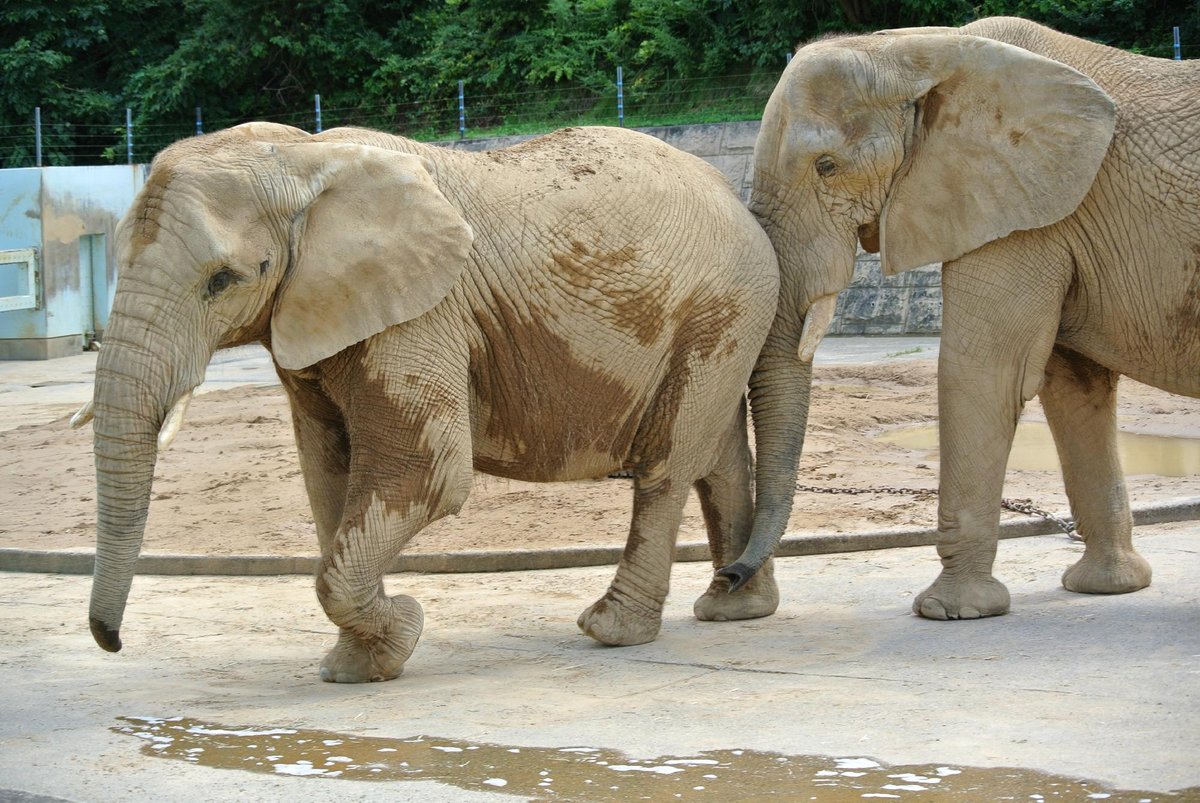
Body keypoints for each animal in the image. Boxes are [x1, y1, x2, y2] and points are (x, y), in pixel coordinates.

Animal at [77, 120, 787, 681]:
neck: (304, 157)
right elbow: (328, 480)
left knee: (668, 466)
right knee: (717, 459)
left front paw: (403, 631)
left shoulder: (423, 315)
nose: (112, 643)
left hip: (722, 308)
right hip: (726, 317)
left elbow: (430, 473)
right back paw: (734, 608)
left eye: (222, 281)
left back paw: (611, 630)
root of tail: (738, 197)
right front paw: (356, 667)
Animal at [720, 17, 1200, 619]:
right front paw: (1106, 587)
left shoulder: (1019, 211)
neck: (922, 50)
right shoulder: (1046, 210)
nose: (729, 576)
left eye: (826, 167)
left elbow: (983, 372)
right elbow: (1072, 384)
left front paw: (949, 611)